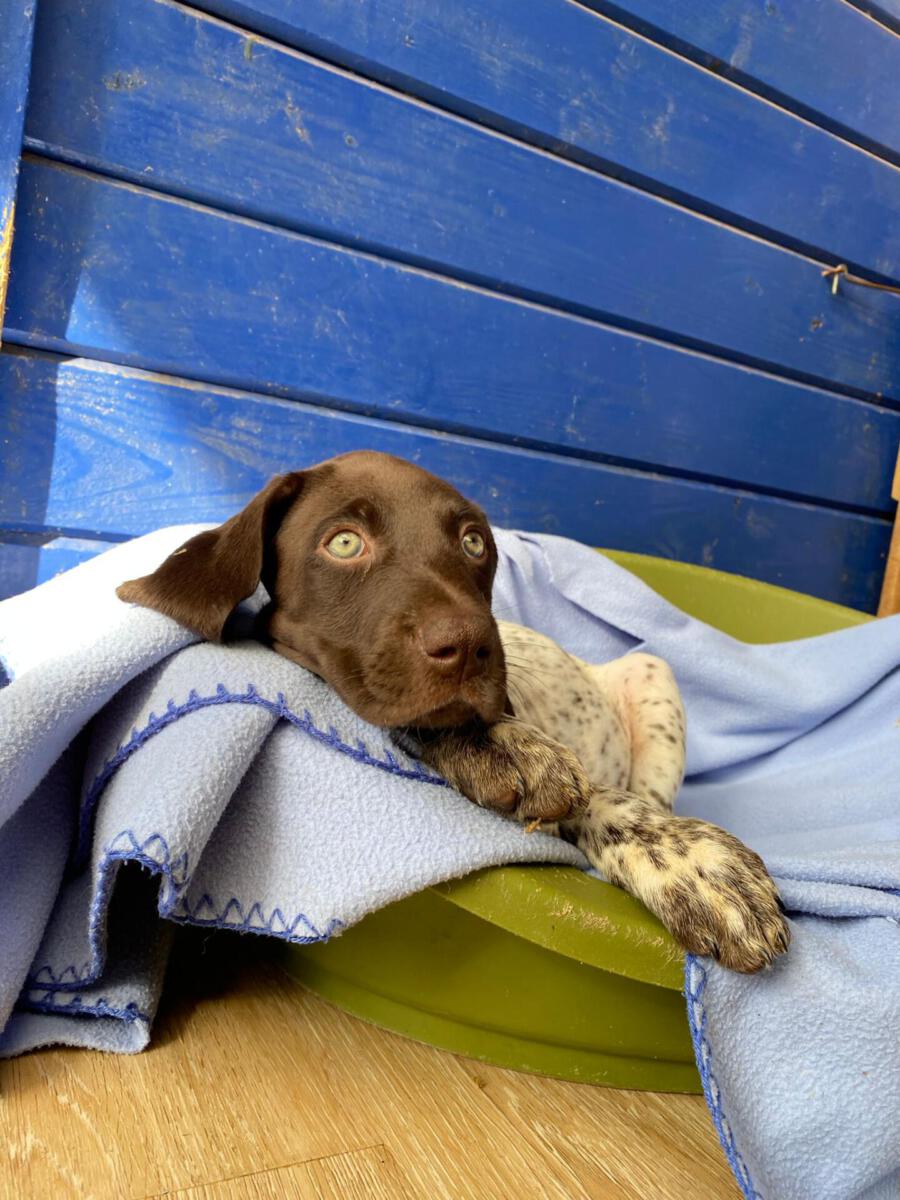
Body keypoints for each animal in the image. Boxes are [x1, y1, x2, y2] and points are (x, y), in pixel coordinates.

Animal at [117, 450, 789, 973]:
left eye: (472, 543)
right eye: (343, 543)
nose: (471, 647)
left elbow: (606, 802)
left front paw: (691, 861)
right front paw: (503, 747)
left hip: (653, 672)